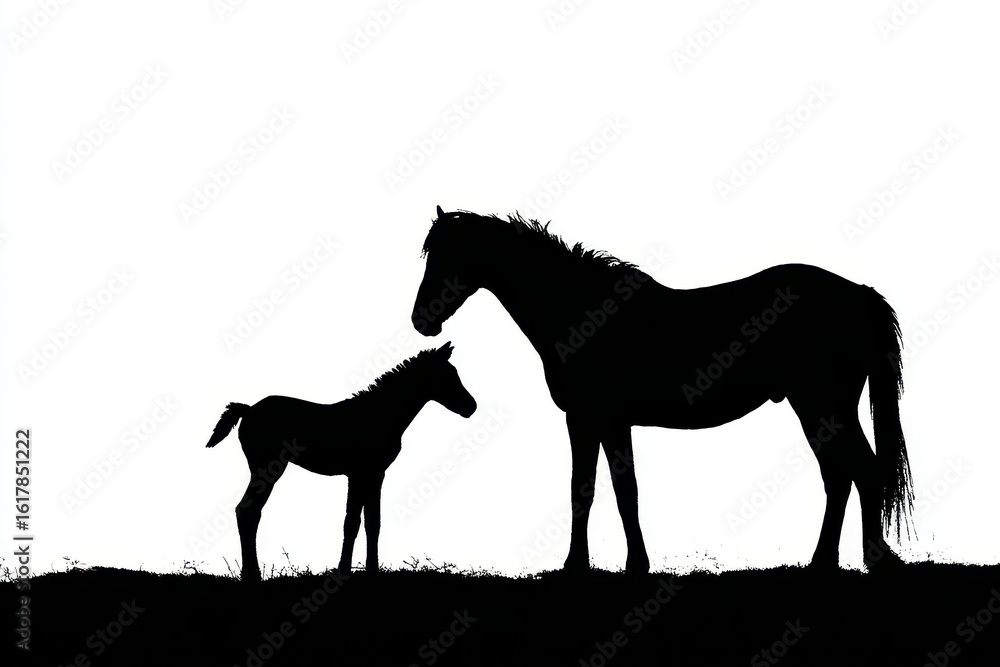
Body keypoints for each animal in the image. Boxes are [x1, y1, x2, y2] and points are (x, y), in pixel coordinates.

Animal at [204, 342, 477, 582]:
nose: (471, 407)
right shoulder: (359, 473)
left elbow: (372, 522)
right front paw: (345, 571)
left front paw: (371, 571)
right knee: (247, 511)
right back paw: (252, 575)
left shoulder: (375, 474)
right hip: (266, 469)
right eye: (447, 375)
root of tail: (248, 410)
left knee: (249, 511)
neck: (381, 415)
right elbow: (352, 522)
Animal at [411, 206, 914, 574]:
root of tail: (857, 292)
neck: (581, 312)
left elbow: (595, 489)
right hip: (820, 407)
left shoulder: (591, 418)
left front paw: (594, 566)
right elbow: (612, 489)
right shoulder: (604, 422)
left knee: (860, 471)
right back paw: (822, 563)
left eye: (446, 257)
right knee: (841, 476)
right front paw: (620, 565)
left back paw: (869, 562)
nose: (422, 320)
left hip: (820, 404)